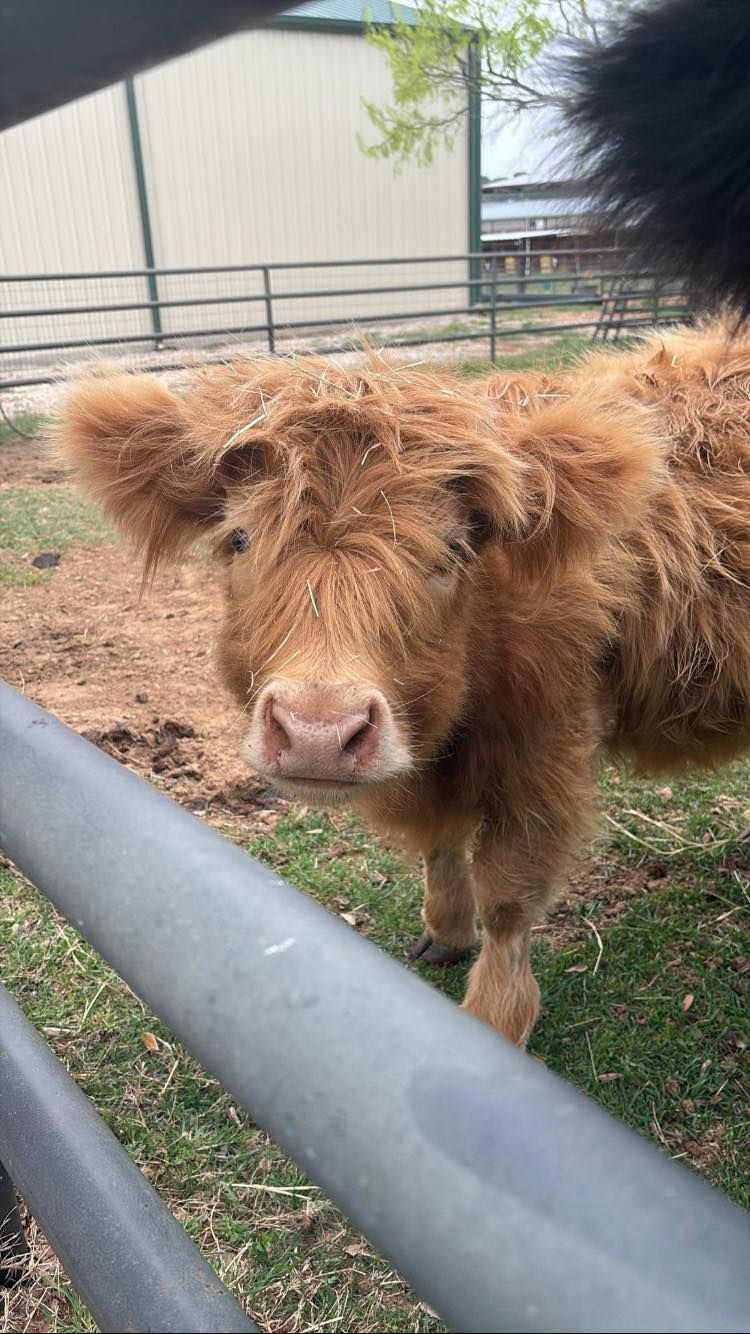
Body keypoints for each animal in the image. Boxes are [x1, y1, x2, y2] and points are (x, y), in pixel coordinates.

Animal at [57, 323, 750, 1045]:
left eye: (450, 551)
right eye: (239, 538)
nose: (317, 733)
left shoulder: (543, 753)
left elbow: (509, 894)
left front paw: (495, 1019)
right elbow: (441, 841)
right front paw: (444, 929)